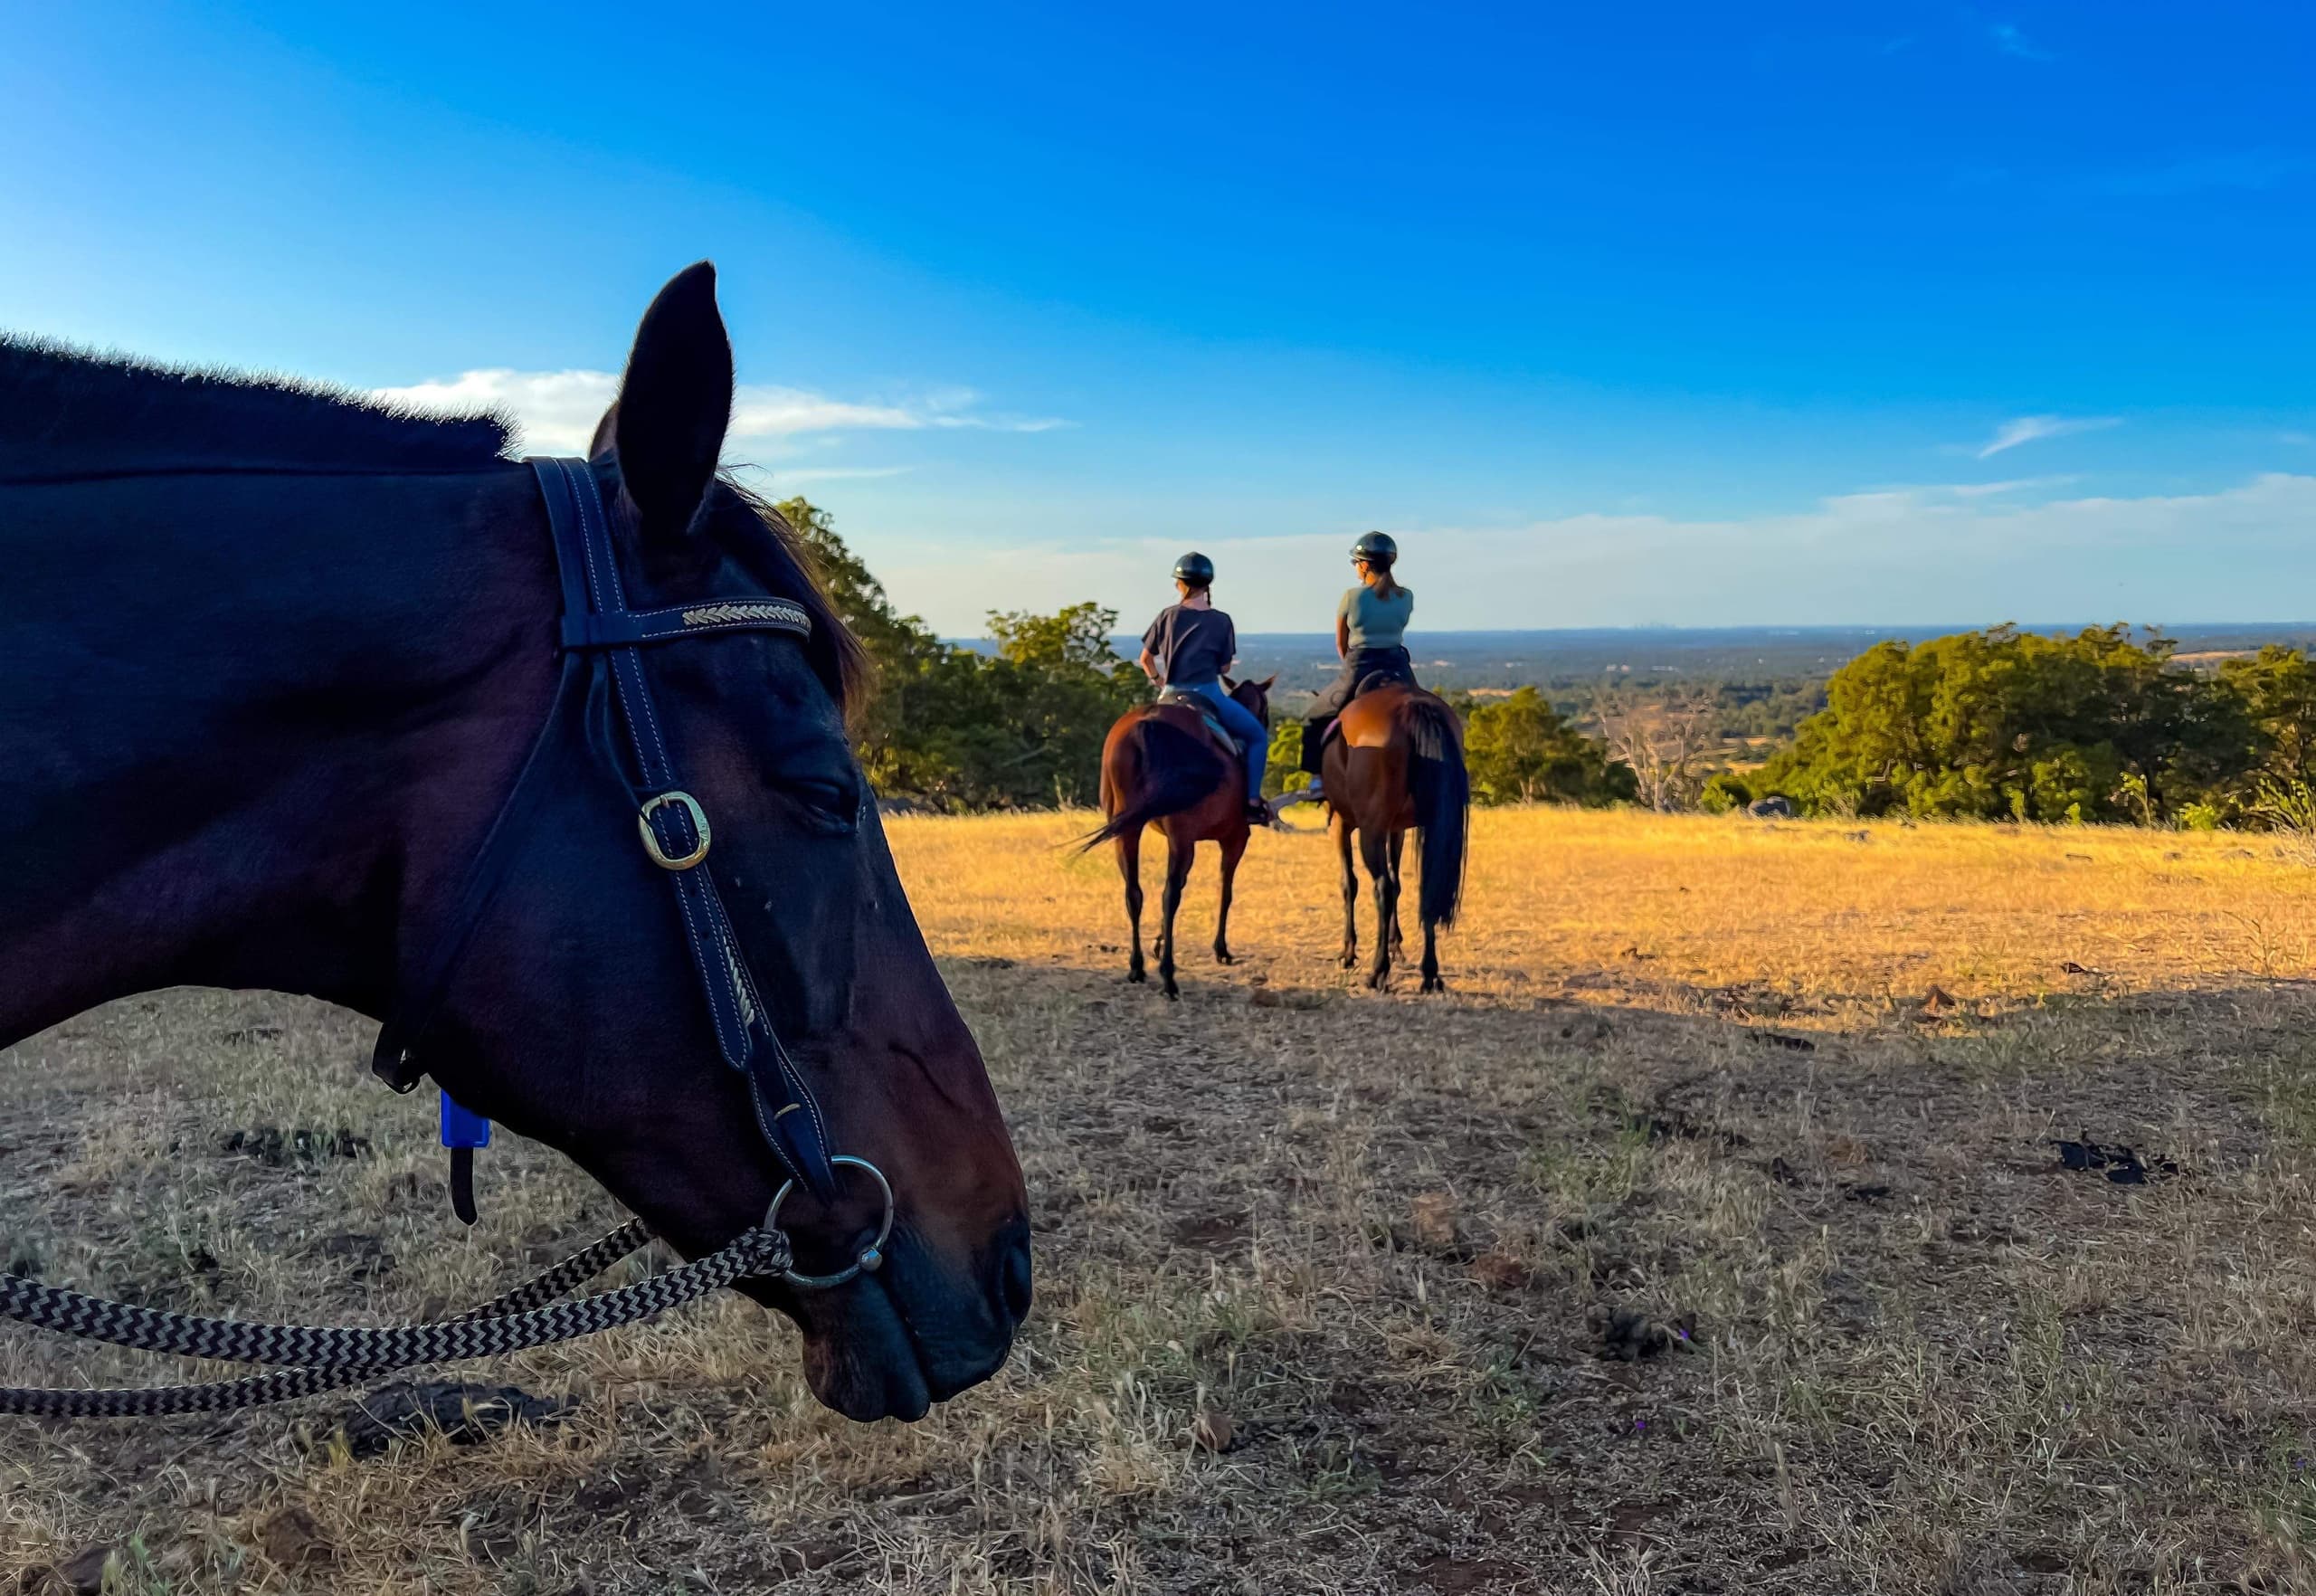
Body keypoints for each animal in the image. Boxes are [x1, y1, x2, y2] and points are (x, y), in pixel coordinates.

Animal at [1082, 678, 1274, 998]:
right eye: (1266, 707)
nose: (1265, 724)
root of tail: (1147, 723)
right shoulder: (1234, 838)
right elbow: (1225, 891)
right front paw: (1220, 949)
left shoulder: (1184, 839)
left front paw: (1158, 943)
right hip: (1182, 835)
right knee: (1169, 895)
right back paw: (1168, 977)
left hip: (1127, 829)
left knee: (1134, 893)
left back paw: (1137, 967)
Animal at [1315, 682, 1470, 992]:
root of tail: (1413, 707)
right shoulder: (1397, 829)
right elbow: (1398, 881)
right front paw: (1395, 944)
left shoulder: (1341, 824)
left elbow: (1349, 884)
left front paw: (1349, 952)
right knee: (1427, 886)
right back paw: (1430, 973)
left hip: (1370, 831)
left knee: (1382, 887)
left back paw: (1378, 971)